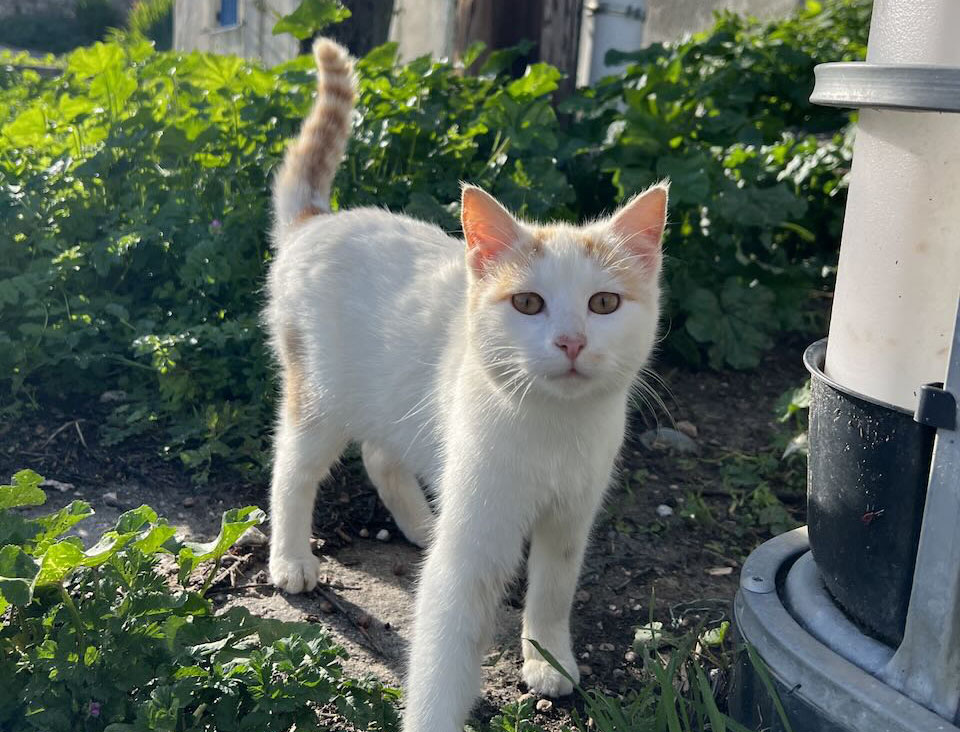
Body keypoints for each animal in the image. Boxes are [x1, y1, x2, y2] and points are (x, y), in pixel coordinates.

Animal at [262, 38, 668, 732]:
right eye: (528, 303)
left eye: (605, 303)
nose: (571, 341)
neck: (550, 427)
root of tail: (318, 220)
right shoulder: (477, 533)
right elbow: (446, 644)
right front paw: (436, 712)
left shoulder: (571, 514)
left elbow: (554, 589)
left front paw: (548, 659)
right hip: (318, 395)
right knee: (293, 467)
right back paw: (291, 559)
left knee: (381, 454)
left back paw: (421, 524)